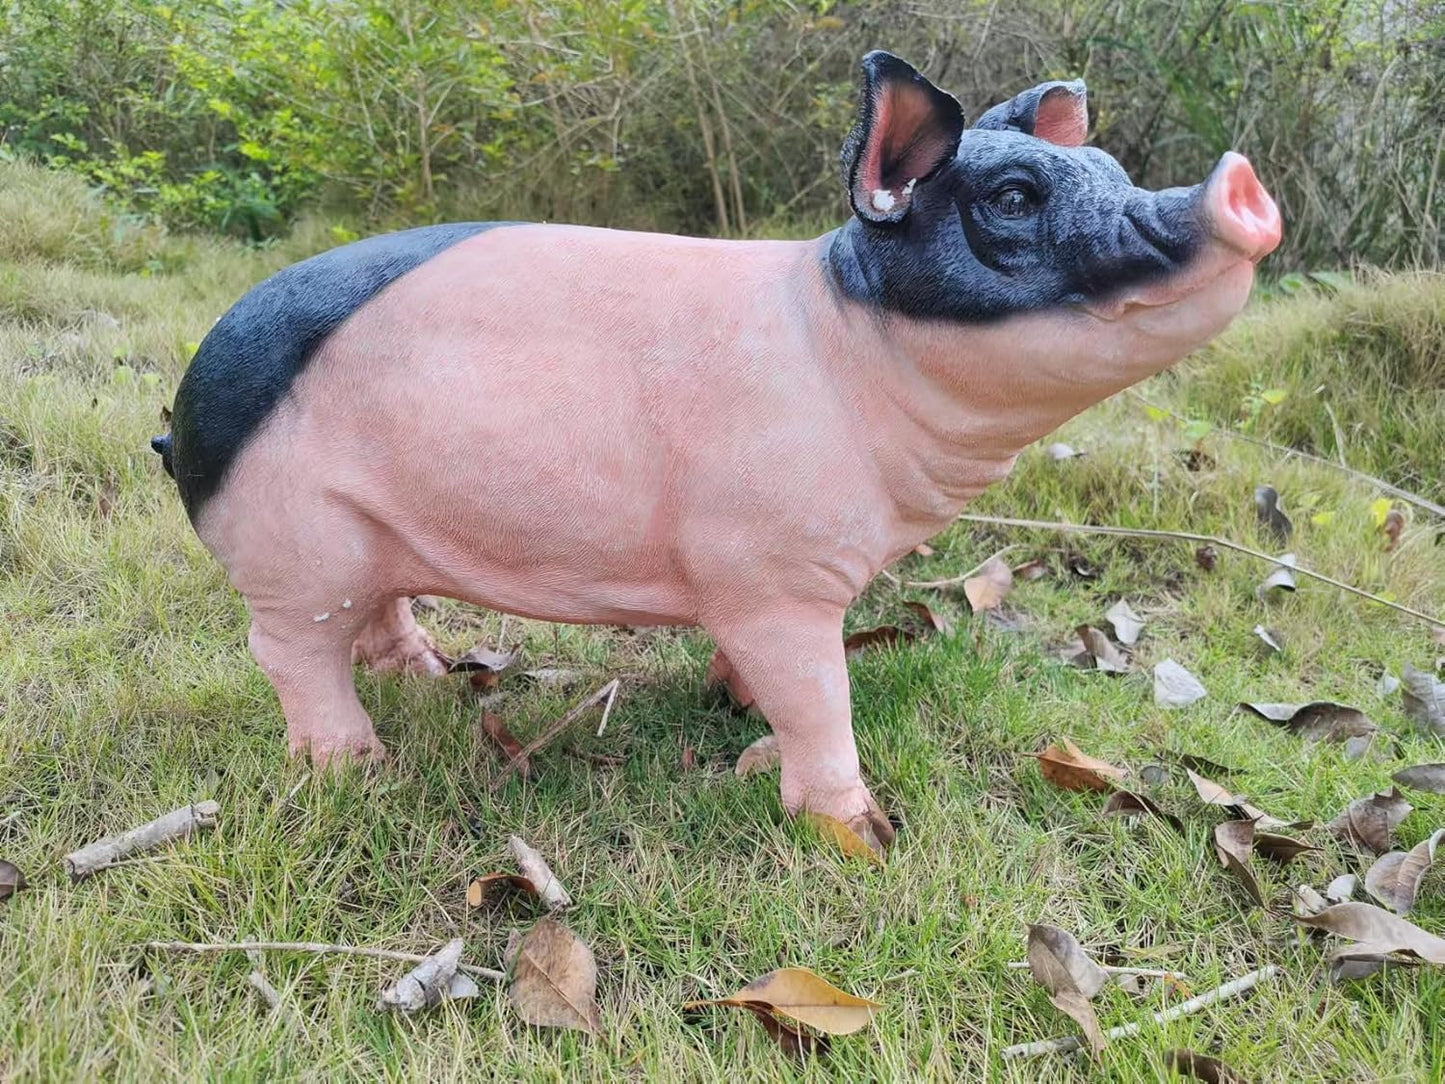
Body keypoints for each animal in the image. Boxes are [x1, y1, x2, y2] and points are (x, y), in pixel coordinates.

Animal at [154, 52, 1280, 849]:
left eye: (1111, 171)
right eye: (1009, 198)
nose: (1240, 183)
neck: (847, 356)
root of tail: (183, 407)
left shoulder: (752, 579)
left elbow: (762, 680)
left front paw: (731, 706)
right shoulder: (770, 571)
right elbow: (817, 698)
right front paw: (859, 833)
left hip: (363, 536)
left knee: (375, 615)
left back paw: (432, 679)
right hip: (293, 545)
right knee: (286, 651)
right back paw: (355, 768)